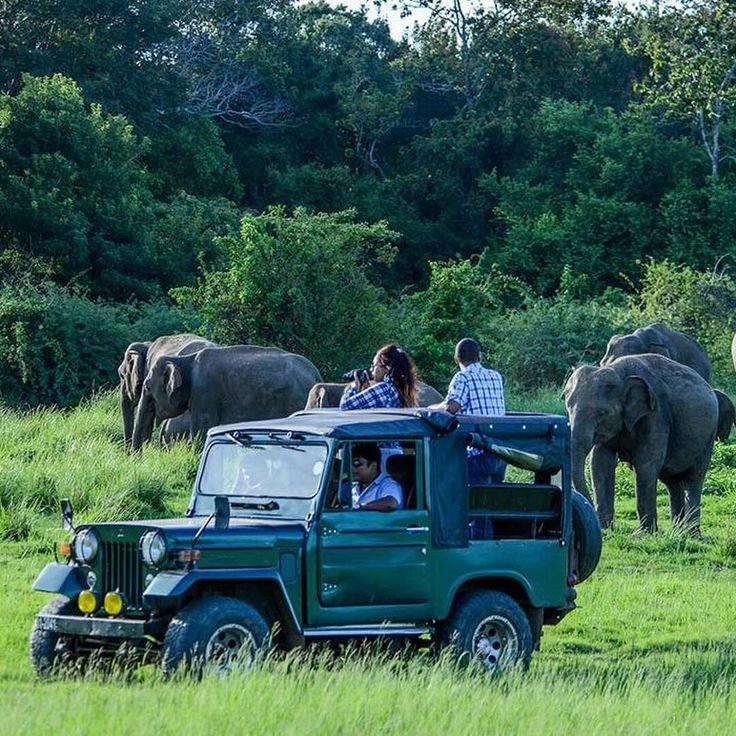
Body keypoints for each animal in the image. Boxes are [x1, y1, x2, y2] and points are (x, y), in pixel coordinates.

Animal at [132, 344, 322, 448]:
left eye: (147, 388)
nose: (139, 458)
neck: (185, 360)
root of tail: (316, 374)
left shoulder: (204, 393)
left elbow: (202, 432)